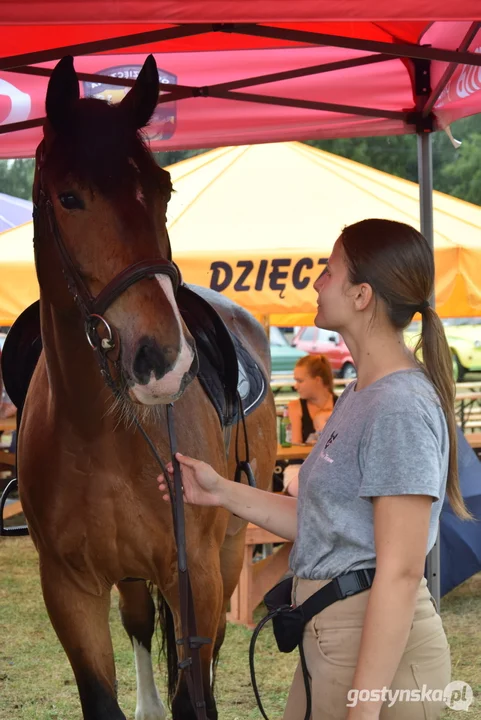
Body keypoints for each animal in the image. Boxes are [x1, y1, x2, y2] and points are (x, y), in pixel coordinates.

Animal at [16, 54, 276, 720]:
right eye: (70, 197)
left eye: (163, 190)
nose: (166, 360)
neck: (98, 430)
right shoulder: (70, 590)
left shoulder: (197, 576)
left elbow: (196, 693)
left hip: (227, 556)